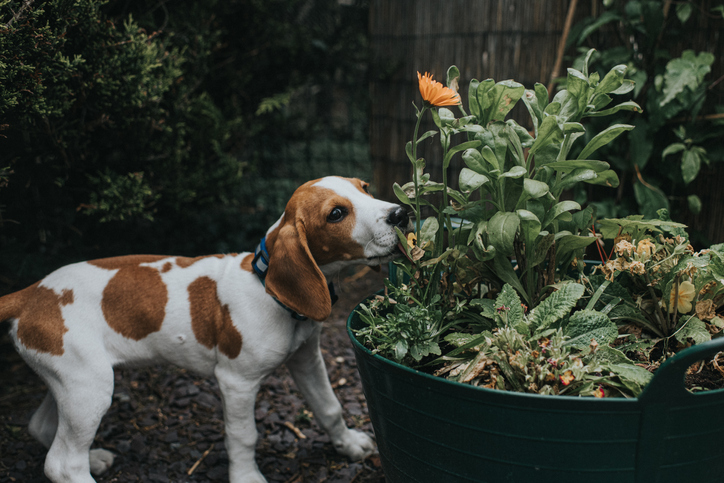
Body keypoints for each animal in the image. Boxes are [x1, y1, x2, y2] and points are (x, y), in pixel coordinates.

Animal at [0, 178, 408, 483]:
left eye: (365, 187)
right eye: (336, 214)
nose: (402, 213)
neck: (266, 289)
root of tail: (31, 292)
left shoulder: (306, 359)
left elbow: (328, 407)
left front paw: (349, 445)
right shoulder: (236, 382)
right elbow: (243, 436)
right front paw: (247, 478)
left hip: (72, 380)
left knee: (41, 427)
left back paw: (95, 457)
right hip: (90, 388)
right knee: (63, 464)